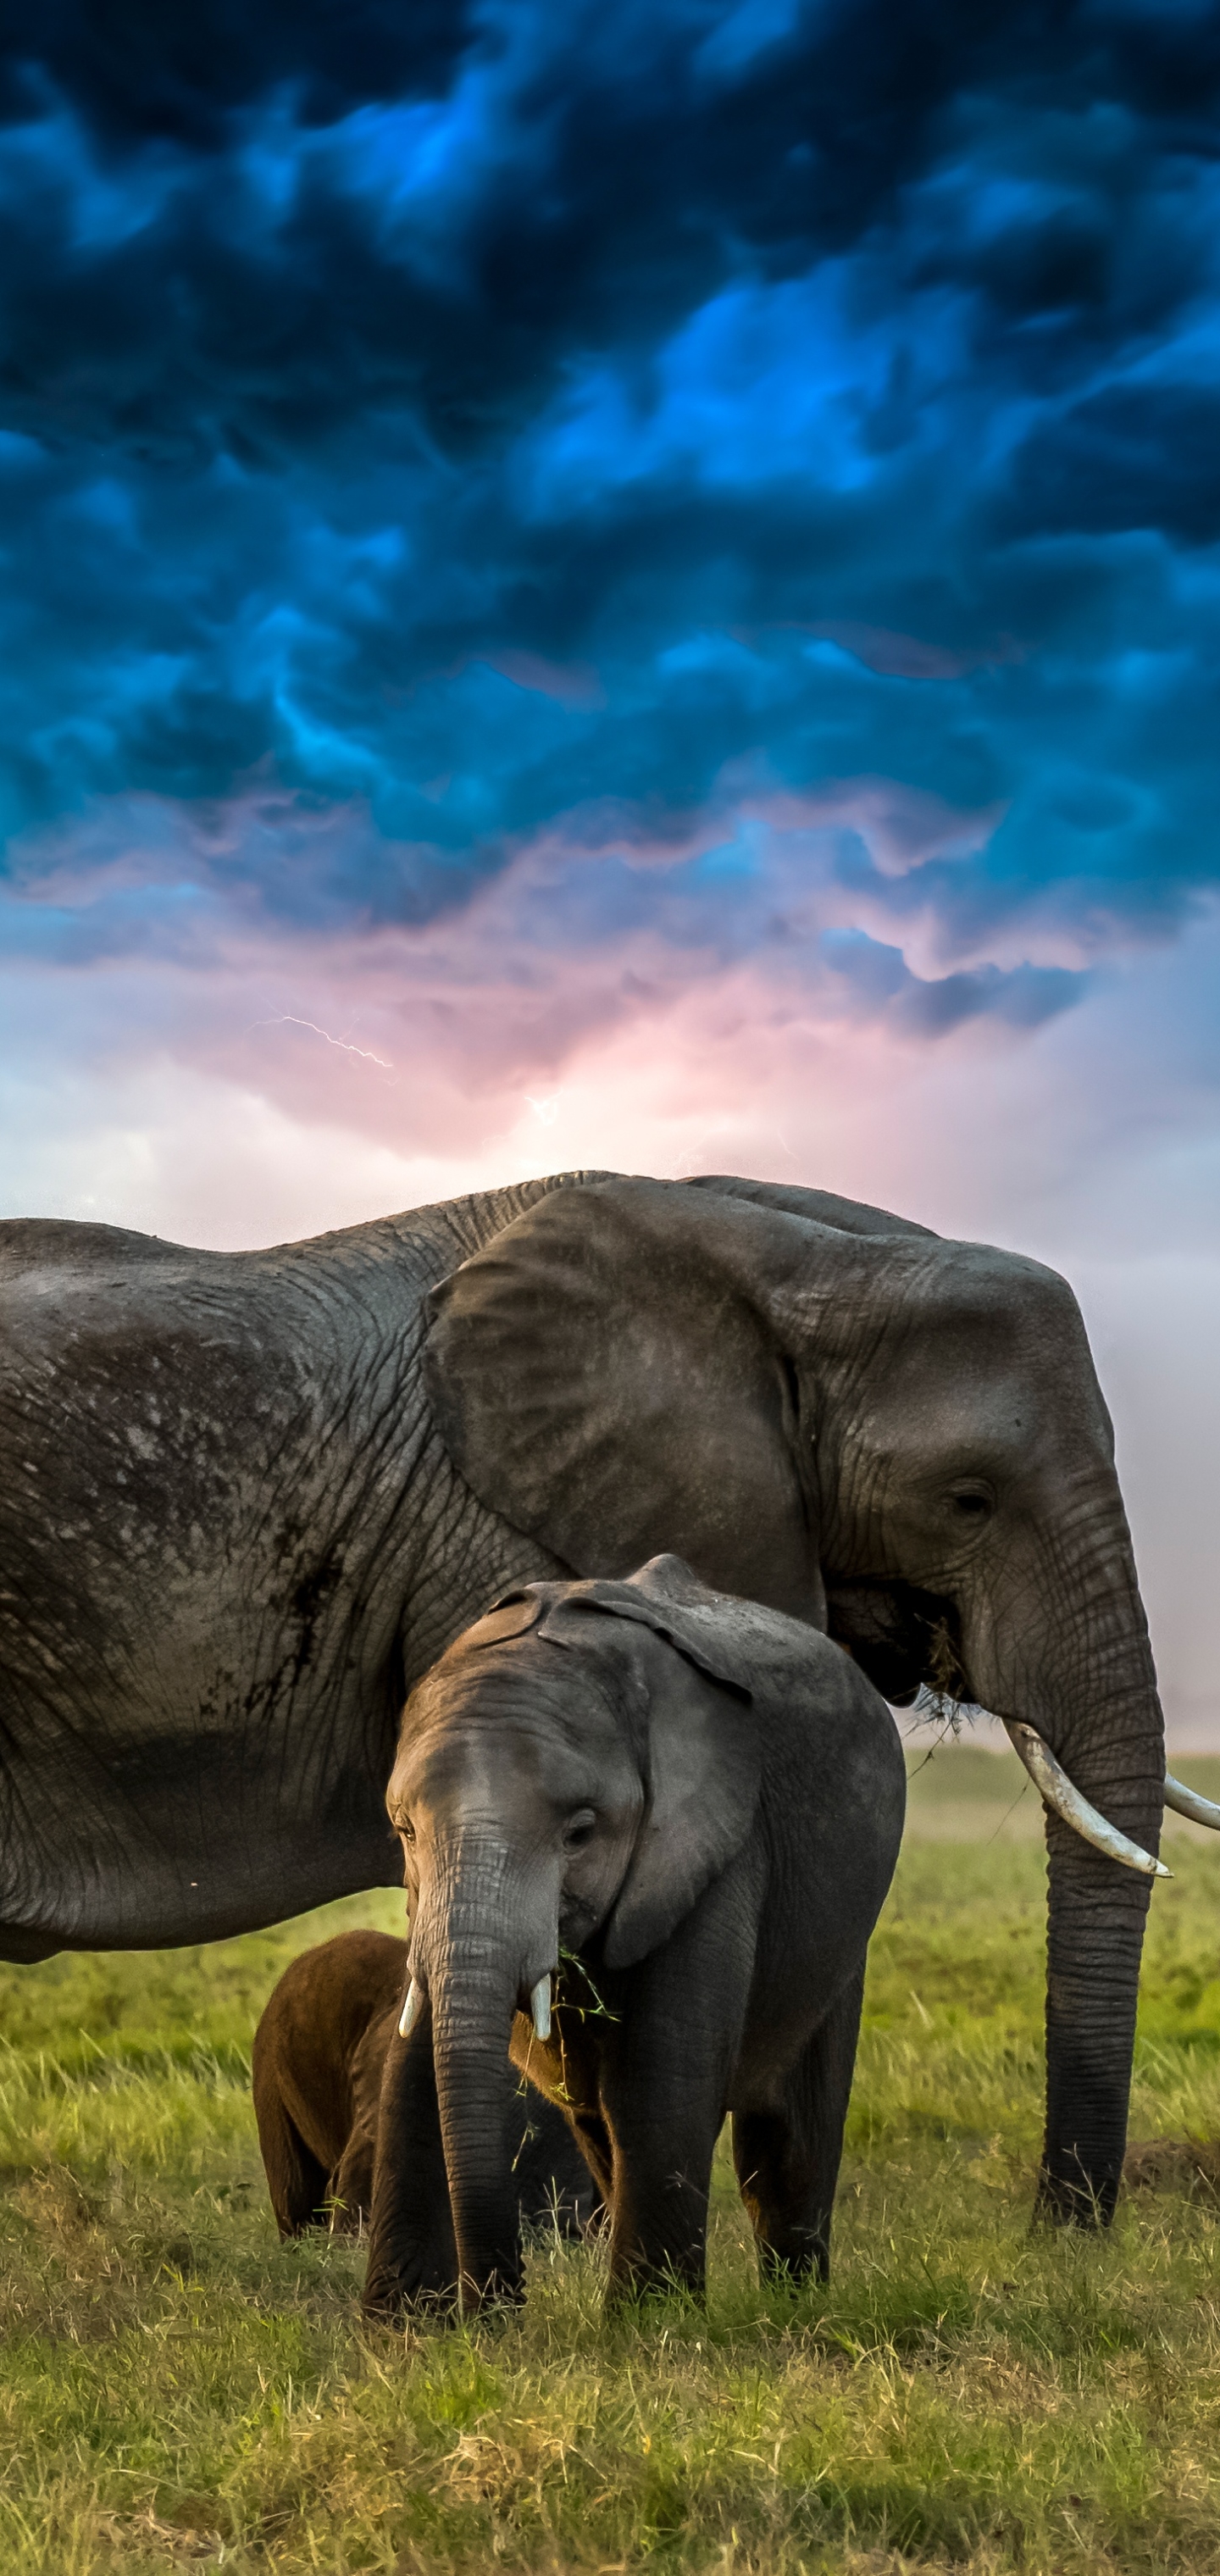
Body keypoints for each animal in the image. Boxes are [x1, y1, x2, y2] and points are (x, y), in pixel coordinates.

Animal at [363, 1554, 906, 2318]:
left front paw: (652, 2323)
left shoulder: (720, 1847)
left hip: (838, 1941)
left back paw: (796, 2304)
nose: (501, 2312)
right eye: (405, 1830)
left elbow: (659, 2074)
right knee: (602, 2133)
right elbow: (418, 2051)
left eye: (580, 1833)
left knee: (788, 2144)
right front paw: (410, 2327)